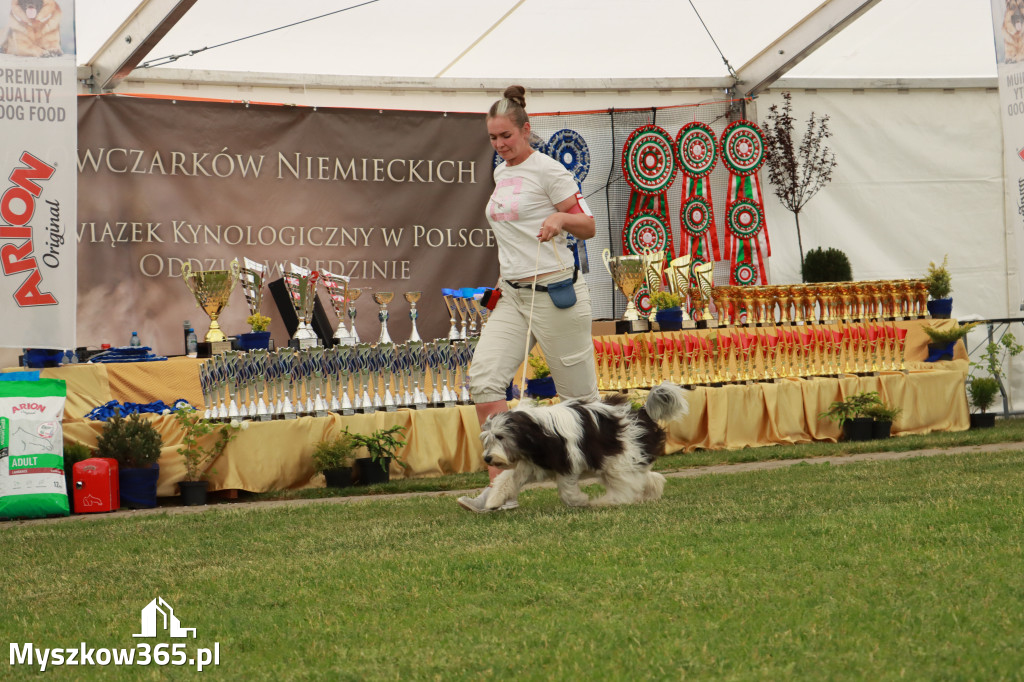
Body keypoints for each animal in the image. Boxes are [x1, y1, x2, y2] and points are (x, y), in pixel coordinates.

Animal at [479, 382, 688, 503]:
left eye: (500, 437)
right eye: (487, 439)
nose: (488, 458)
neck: (537, 430)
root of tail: (640, 412)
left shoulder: (569, 461)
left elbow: (567, 490)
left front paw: (580, 500)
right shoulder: (532, 463)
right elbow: (507, 478)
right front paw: (494, 500)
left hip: (618, 460)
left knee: (625, 488)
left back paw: (605, 502)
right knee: (645, 478)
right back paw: (652, 492)